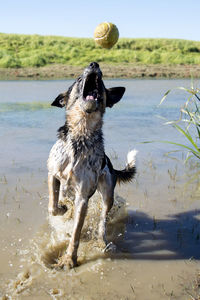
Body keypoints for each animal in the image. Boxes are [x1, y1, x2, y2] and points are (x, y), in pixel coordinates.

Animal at [47, 62, 137, 268]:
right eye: (78, 79)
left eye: (102, 84)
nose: (94, 64)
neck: (82, 131)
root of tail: (110, 164)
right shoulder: (52, 174)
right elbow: (53, 205)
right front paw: (62, 209)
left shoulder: (83, 196)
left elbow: (76, 232)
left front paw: (69, 260)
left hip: (107, 194)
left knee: (102, 222)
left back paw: (101, 240)